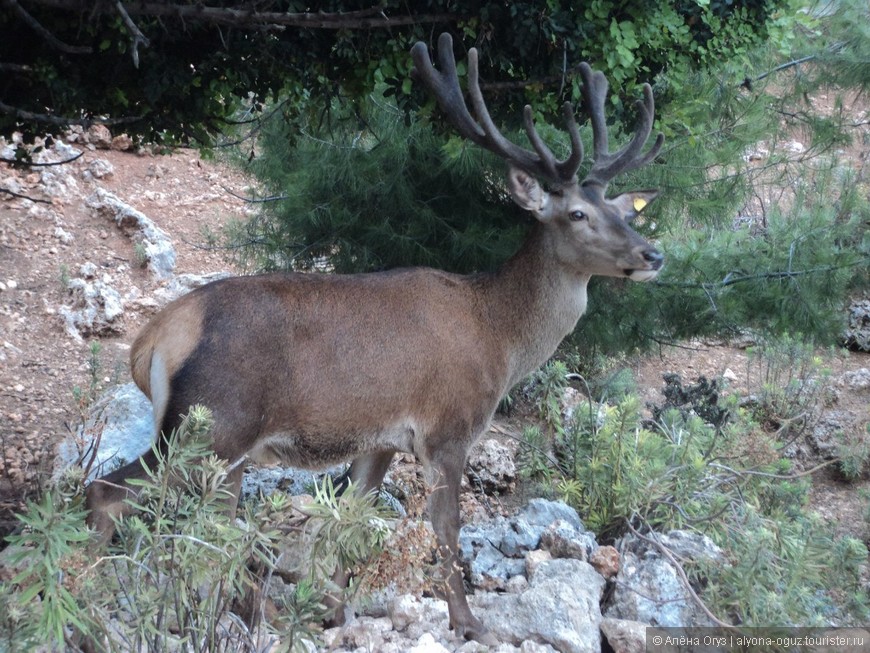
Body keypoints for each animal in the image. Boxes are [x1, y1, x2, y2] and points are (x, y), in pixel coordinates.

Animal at [85, 33, 664, 644]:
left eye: (623, 210)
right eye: (577, 213)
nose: (653, 254)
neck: (500, 339)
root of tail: (150, 341)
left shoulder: (381, 438)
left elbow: (353, 517)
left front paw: (337, 612)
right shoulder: (448, 428)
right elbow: (446, 528)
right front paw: (471, 624)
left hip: (218, 445)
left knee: (208, 521)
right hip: (210, 425)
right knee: (107, 492)